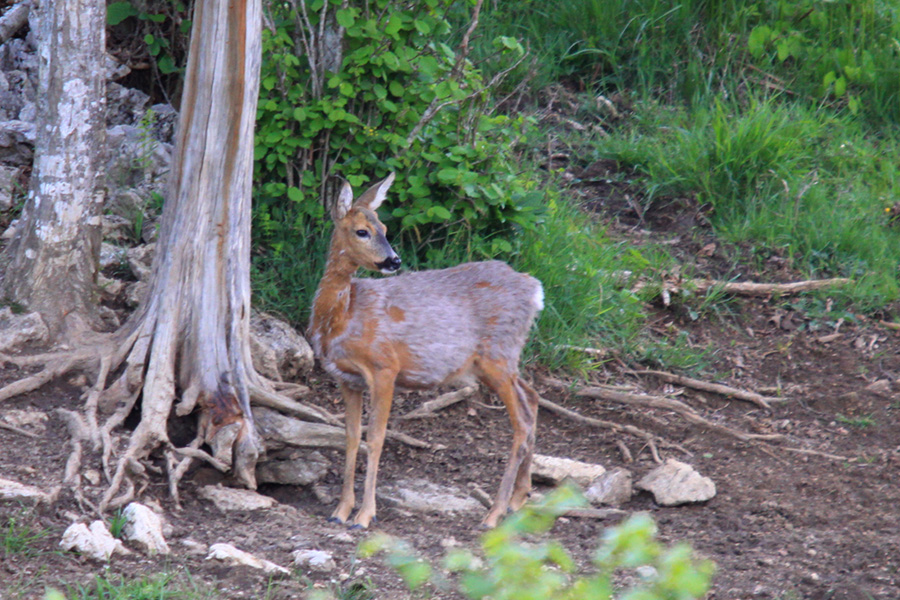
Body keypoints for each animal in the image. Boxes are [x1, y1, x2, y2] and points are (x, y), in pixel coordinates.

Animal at [310, 173, 540, 528]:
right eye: (362, 231)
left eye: (385, 228)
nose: (394, 260)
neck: (340, 319)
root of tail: (535, 290)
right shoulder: (346, 379)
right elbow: (350, 437)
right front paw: (341, 510)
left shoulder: (384, 367)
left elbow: (375, 438)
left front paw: (364, 515)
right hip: (503, 359)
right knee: (533, 397)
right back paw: (518, 498)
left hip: (497, 355)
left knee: (523, 422)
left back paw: (495, 512)